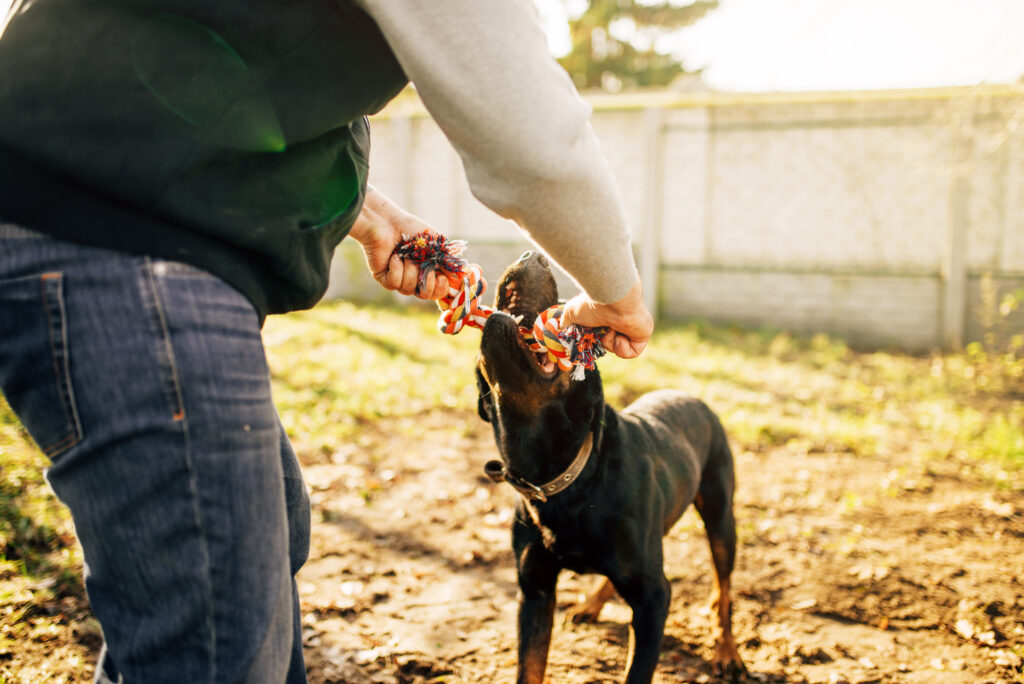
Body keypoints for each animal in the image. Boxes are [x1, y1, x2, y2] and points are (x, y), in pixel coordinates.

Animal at [475, 252, 749, 684]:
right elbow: (529, 667)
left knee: (724, 589)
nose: (533, 256)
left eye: (564, 306)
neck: (571, 475)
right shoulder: (534, 592)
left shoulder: (655, 599)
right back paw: (591, 605)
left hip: (721, 518)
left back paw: (726, 650)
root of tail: (692, 397)